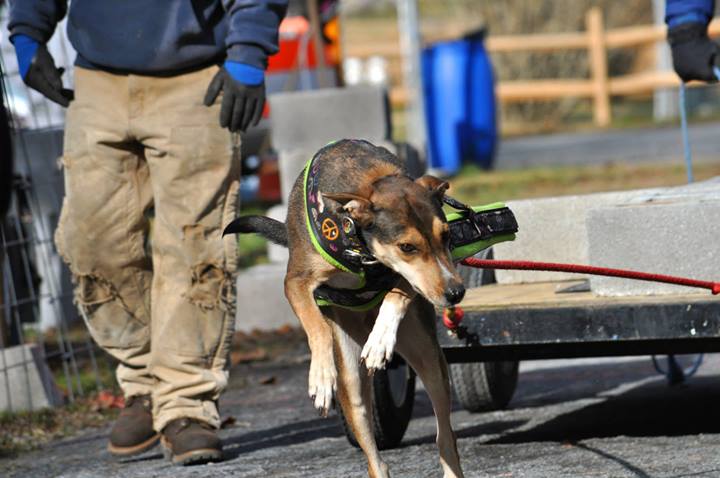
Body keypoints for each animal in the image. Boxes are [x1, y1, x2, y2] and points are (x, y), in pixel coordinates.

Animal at [225, 139, 466, 478]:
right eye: (407, 247)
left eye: (446, 235)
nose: (456, 292)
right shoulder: (296, 282)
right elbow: (317, 327)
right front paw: (322, 376)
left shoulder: (408, 279)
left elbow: (397, 294)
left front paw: (380, 341)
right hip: (352, 384)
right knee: (376, 458)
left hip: (428, 358)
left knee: (445, 435)